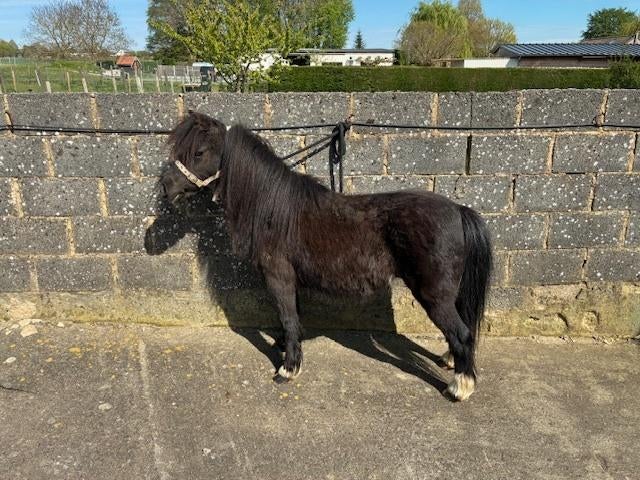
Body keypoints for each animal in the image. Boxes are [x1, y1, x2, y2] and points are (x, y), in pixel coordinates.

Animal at [158, 111, 493, 401]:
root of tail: (458, 210)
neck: (273, 207)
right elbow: (292, 317)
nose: (166, 187)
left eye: (199, 152)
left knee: (462, 333)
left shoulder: (278, 277)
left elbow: (288, 317)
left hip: (433, 295)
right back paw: (451, 362)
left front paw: (288, 369)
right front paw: (286, 348)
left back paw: (459, 387)